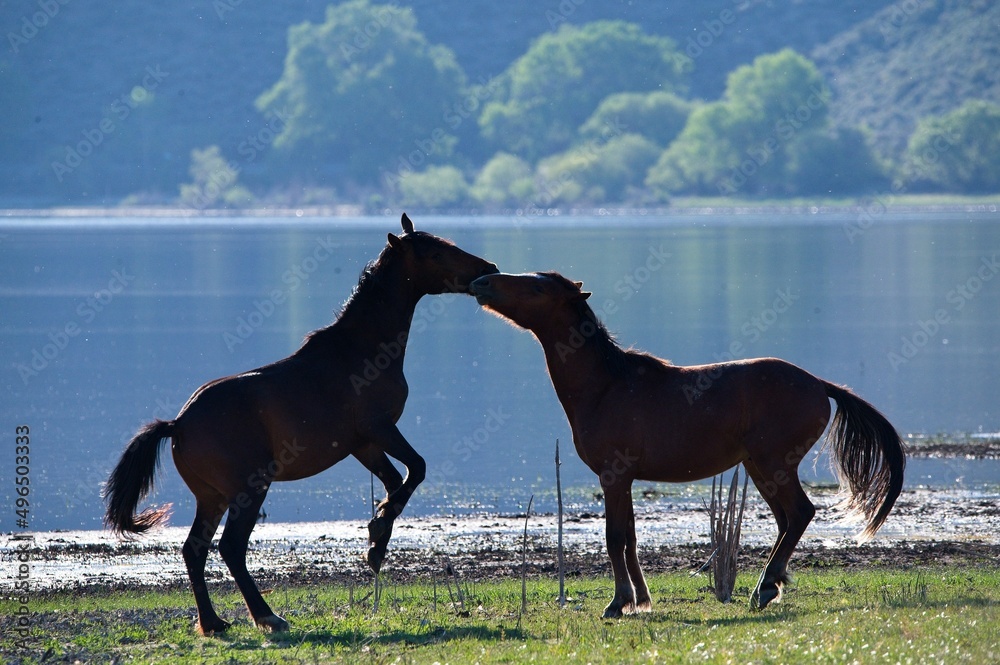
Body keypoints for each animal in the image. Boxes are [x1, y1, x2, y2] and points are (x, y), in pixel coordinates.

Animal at [104, 214, 498, 634]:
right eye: (436, 253)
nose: (487, 270)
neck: (363, 351)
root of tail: (177, 423)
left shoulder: (363, 445)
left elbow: (395, 483)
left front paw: (376, 542)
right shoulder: (379, 429)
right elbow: (416, 469)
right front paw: (377, 535)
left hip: (211, 498)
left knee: (195, 549)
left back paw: (213, 623)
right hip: (248, 490)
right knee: (230, 548)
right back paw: (267, 617)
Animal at [470, 271, 905, 618]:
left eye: (538, 287)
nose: (482, 282)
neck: (606, 385)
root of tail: (819, 384)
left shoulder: (614, 475)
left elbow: (614, 538)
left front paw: (619, 602)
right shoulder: (625, 480)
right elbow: (630, 538)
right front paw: (641, 598)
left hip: (774, 462)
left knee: (799, 513)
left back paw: (765, 587)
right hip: (759, 467)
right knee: (787, 520)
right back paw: (771, 584)